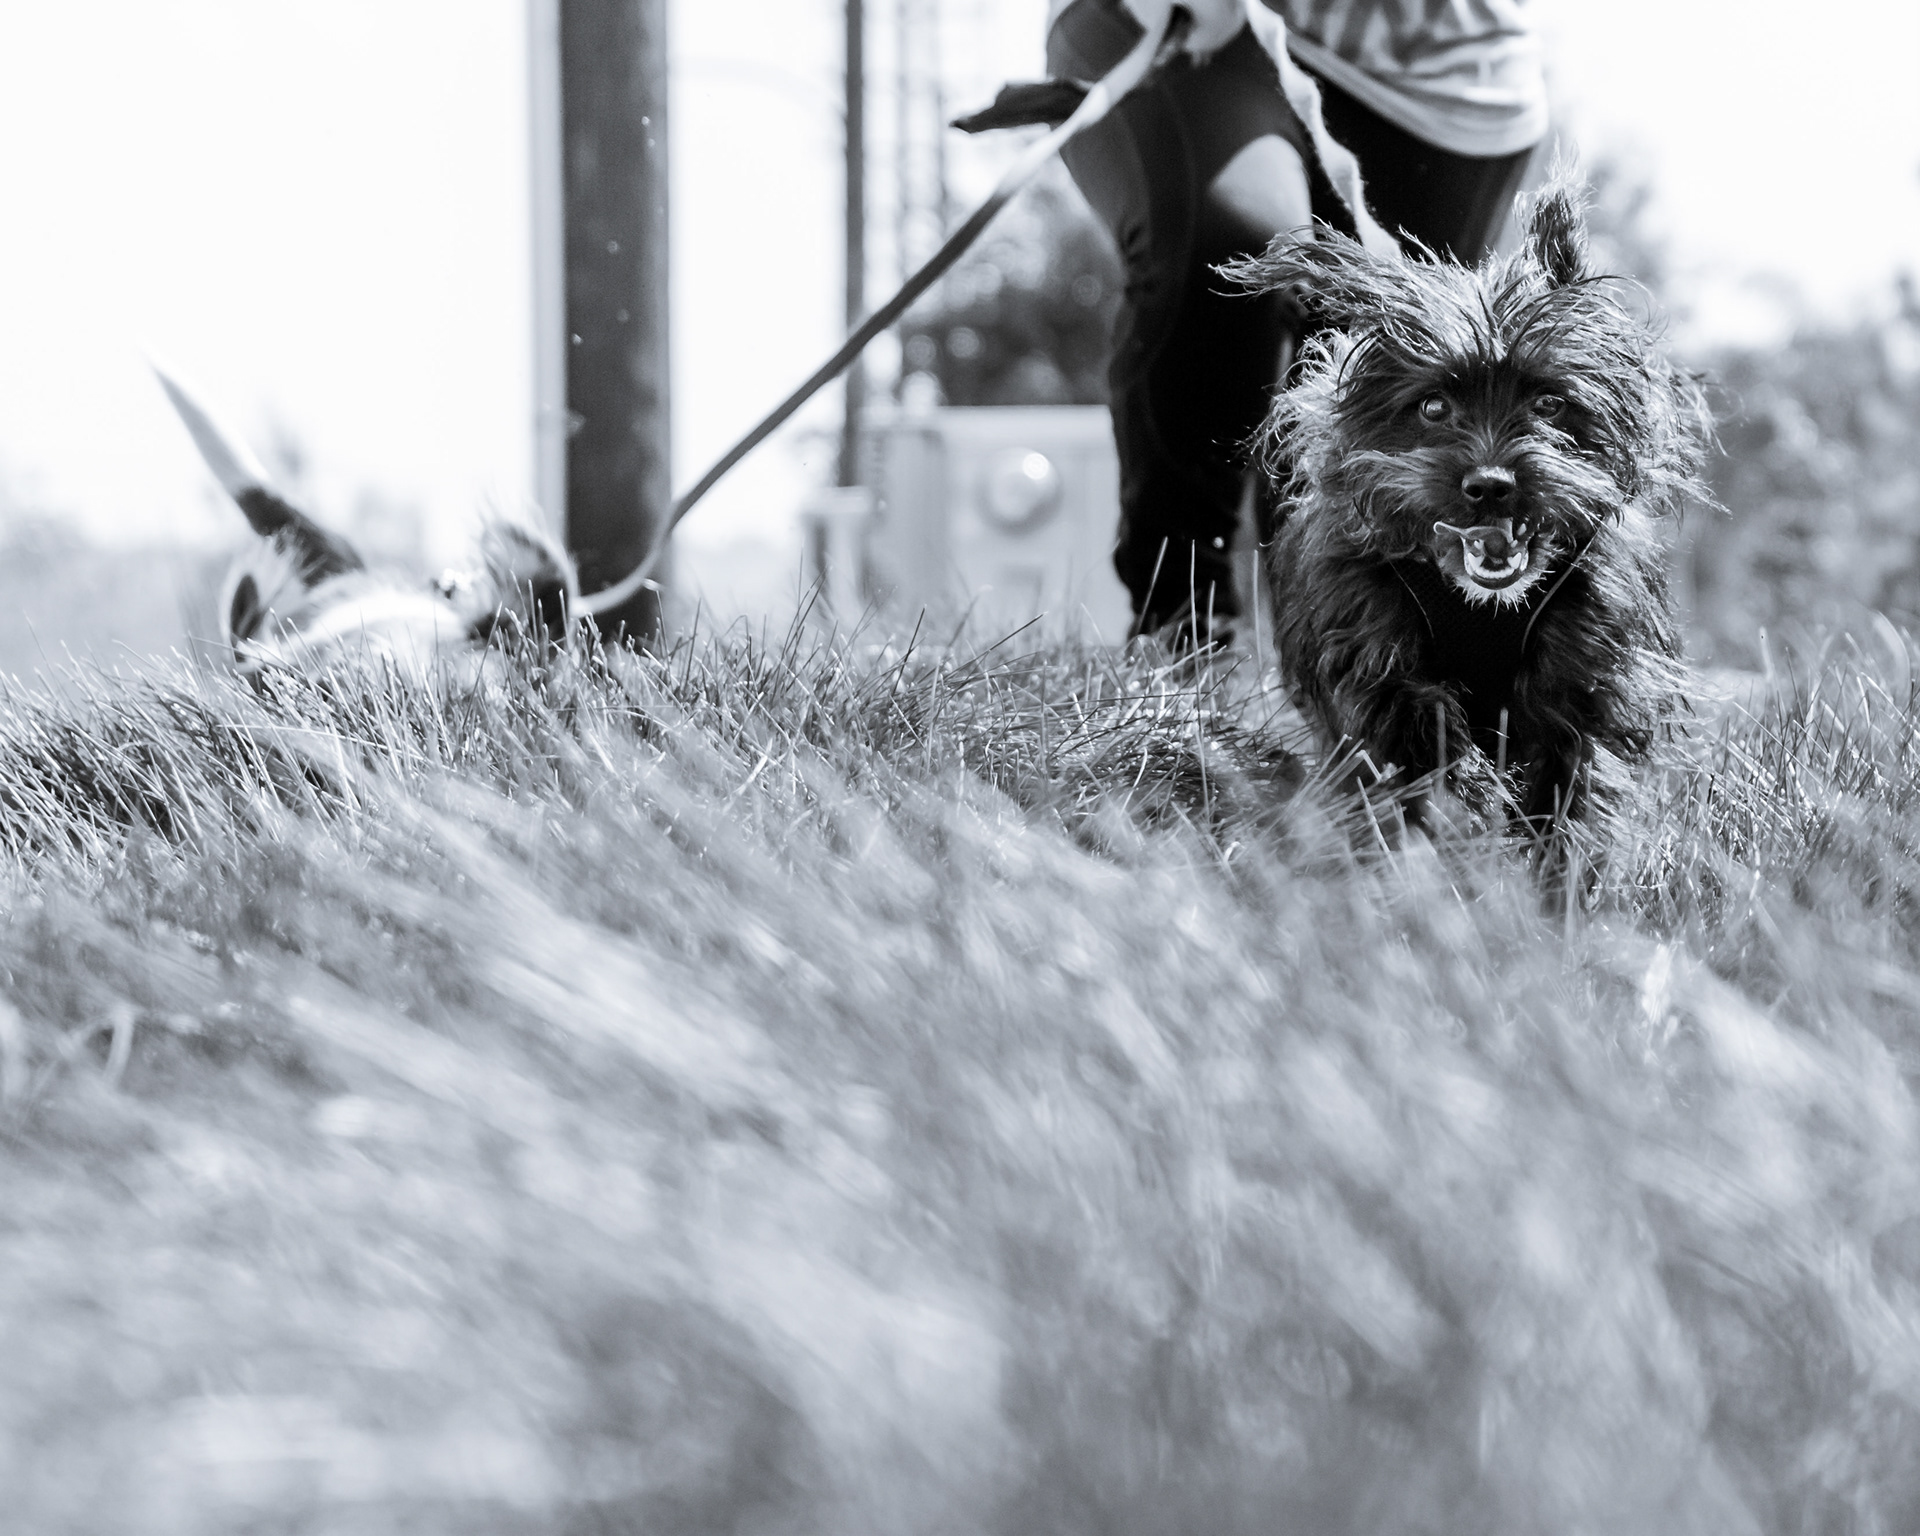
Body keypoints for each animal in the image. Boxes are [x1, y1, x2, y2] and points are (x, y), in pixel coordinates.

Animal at [1234, 183, 1711, 836]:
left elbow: (1575, 788)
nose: (1490, 485)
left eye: (1549, 403)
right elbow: (1418, 726)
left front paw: (1559, 863)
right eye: (1433, 407)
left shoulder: (1588, 675)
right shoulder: (1371, 646)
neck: (1480, 606)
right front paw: (1462, 806)